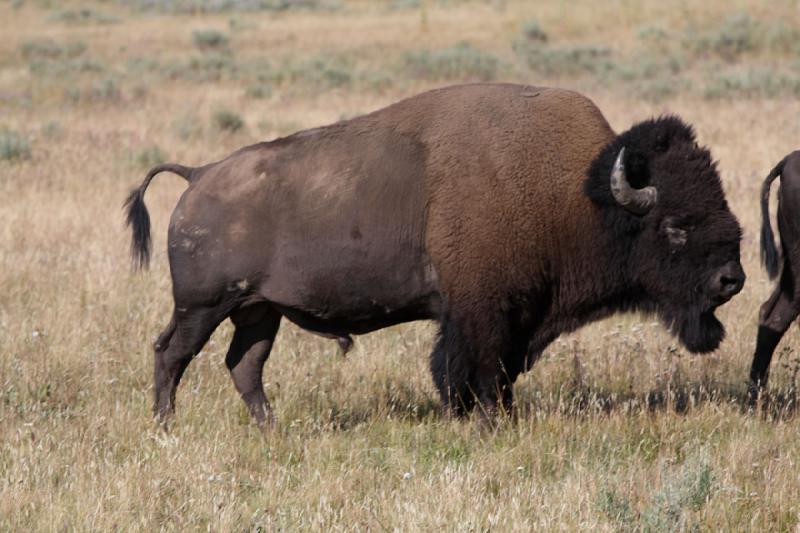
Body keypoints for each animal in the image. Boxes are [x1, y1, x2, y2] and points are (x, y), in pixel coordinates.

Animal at [125, 83, 744, 426]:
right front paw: (488, 423)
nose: (731, 280)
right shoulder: (483, 313)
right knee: (171, 354)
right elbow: (477, 370)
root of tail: (199, 175)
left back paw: (271, 429)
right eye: (676, 226)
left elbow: (492, 372)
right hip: (204, 306)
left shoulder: (510, 315)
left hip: (258, 311)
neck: (578, 193)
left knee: (244, 366)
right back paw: (167, 427)